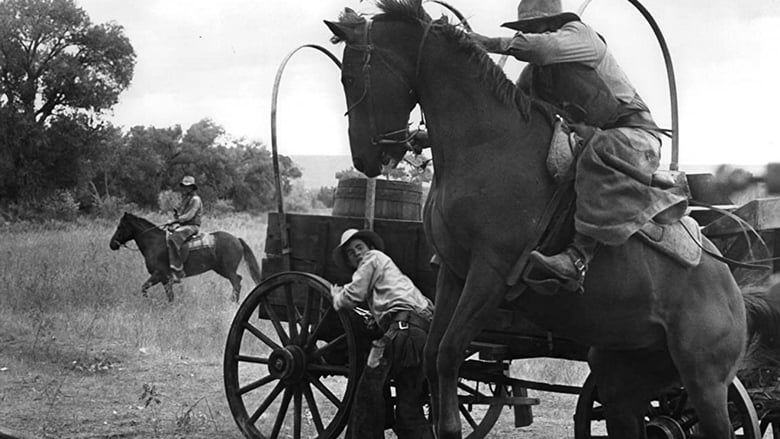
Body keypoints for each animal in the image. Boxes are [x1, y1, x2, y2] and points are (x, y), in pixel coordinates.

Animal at [109, 212, 262, 302]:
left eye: (120, 226)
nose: (112, 244)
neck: (154, 243)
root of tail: (237, 239)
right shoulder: (165, 279)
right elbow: (169, 295)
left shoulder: (159, 274)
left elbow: (144, 287)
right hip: (221, 269)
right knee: (238, 280)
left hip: (227, 269)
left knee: (236, 282)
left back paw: (233, 302)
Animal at [326, 1, 780, 438]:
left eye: (350, 76)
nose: (365, 158)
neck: (486, 143)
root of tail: (733, 291)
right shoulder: (453, 274)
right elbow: (435, 354)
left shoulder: (489, 275)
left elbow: (449, 354)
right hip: (622, 379)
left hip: (704, 385)